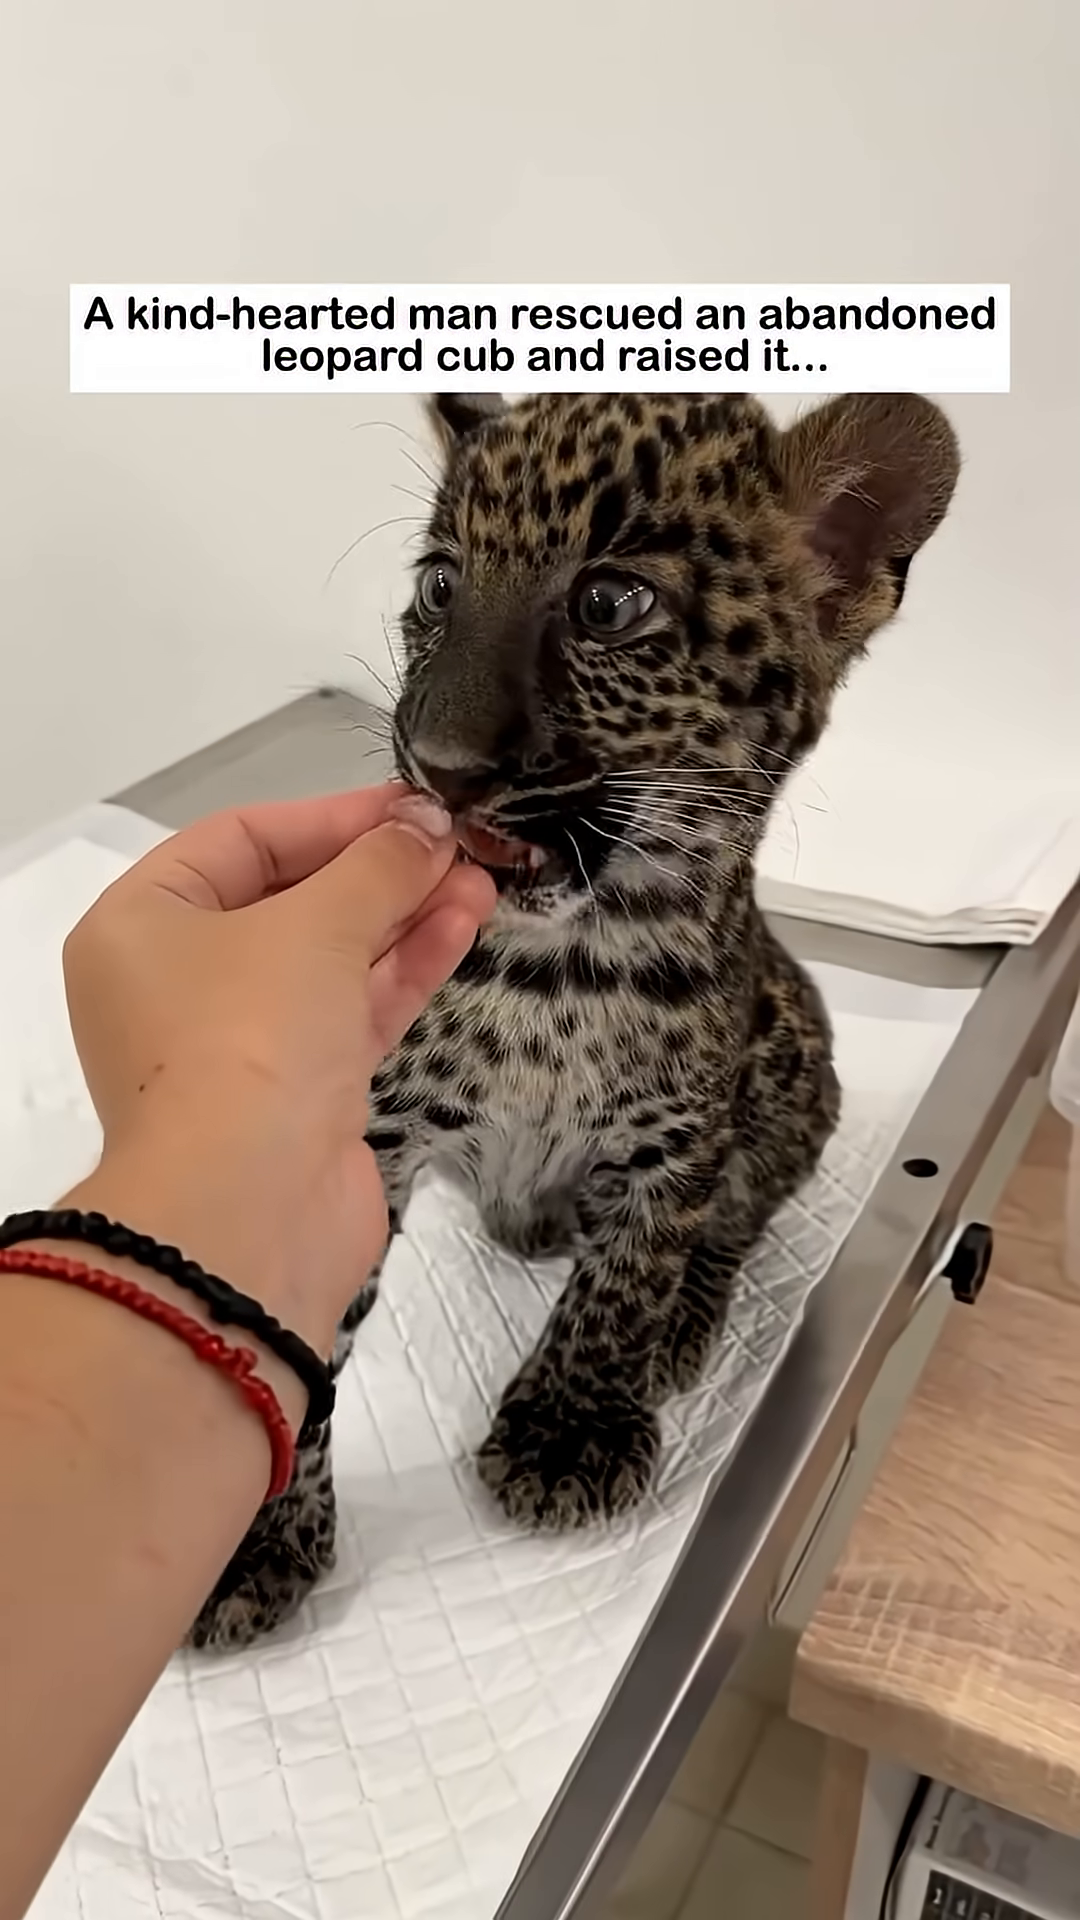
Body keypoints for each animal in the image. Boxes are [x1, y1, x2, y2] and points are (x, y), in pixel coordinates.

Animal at [189, 388, 960, 1651]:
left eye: (610, 603)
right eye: (439, 585)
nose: (437, 768)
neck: (560, 975)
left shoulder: (675, 1140)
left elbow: (626, 1277)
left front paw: (570, 1430)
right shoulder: (375, 1139)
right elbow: (303, 1336)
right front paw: (253, 1534)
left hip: (795, 1058)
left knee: (736, 1221)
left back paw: (681, 1327)